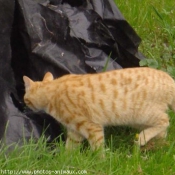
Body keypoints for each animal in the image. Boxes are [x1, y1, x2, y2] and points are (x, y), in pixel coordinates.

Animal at [22, 67, 175, 152]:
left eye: (25, 98)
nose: (24, 105)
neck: (53, 91)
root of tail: (170, 79)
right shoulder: (75, 131)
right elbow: (70, 148)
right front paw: (65, 160)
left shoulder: (92, 127)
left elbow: (98, 149)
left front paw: (99, 161)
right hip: (140, 121)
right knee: (163, 132)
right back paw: (158, 146)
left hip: (143, 114)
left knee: (165, 121)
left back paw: (144, 138)